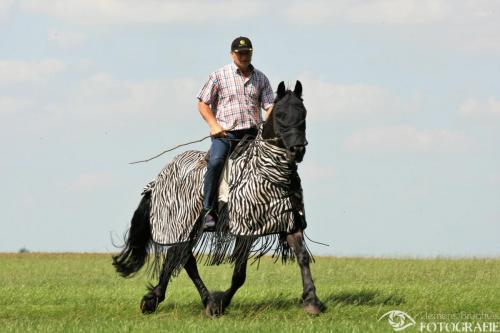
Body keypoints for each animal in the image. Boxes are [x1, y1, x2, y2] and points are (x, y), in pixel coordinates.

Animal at [113, 81, 324, 316]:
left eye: (303, 113)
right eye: (280, 115)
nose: (297, 150)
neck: (267, 173)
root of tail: (156, 181)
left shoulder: (288, 220)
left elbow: (302, 257)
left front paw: (312, 301)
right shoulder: (246, 230)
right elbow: (239, 274)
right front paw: (221, 301)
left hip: (187, 229)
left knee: (178, 259)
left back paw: (158, 298)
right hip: (180, 224)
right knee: (185, 260)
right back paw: (203, 303)